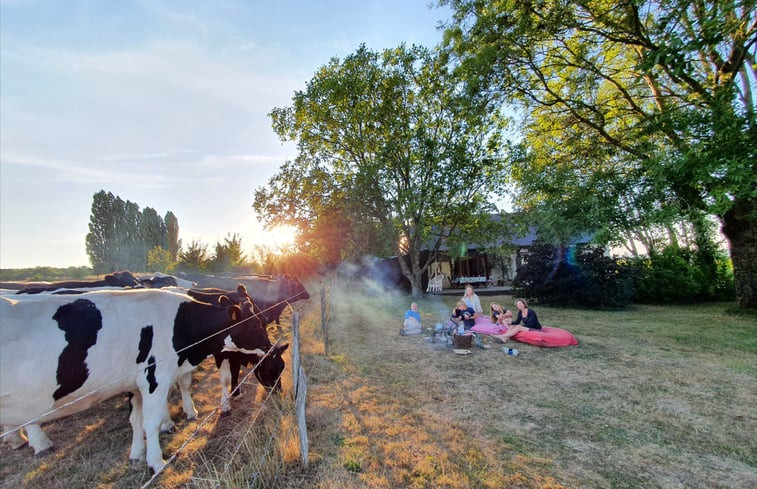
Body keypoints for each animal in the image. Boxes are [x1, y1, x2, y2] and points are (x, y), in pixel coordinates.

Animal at [0, 288, 272, 470]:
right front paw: (157, 461)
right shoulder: (155, 377)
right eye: (255, 324)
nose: (270, 347)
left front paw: (137, 454)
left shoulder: (136, 384)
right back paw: (38, 442)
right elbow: (150, 422)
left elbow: (136, 420)